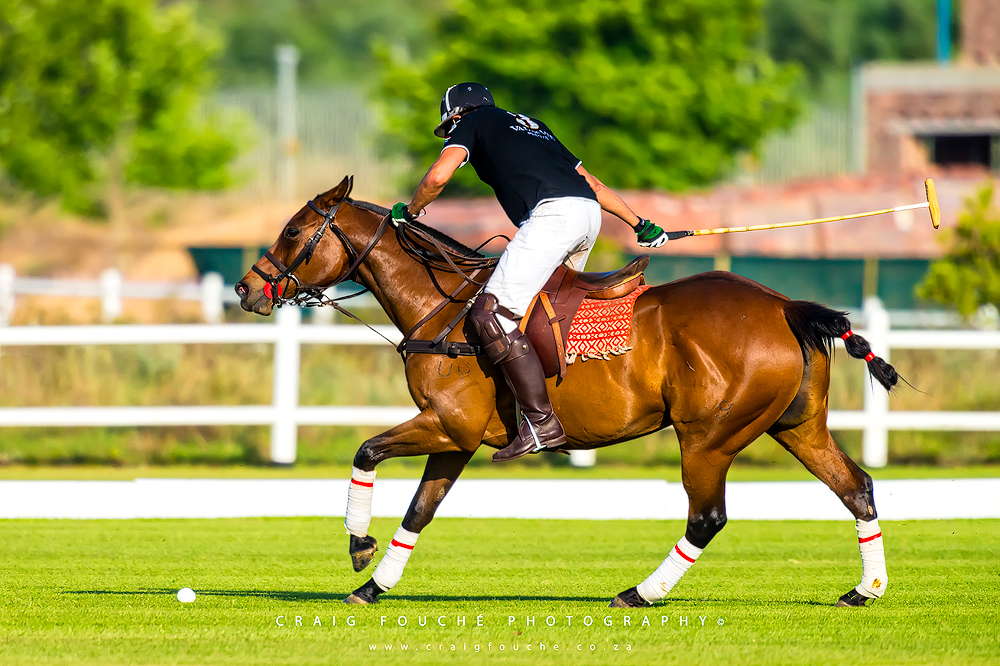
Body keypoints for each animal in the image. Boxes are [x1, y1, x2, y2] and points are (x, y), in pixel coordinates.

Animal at [236, 176, 896, 609]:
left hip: (708, 437)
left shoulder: (447, 423)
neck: (441, 308)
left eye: (293, 230)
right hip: (796, 425)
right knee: (857, 487)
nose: (247, 290)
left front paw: (358, 545)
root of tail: (785, 304)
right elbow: (420, 509)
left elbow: (366, 451)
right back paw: (864, 590)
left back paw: (640, 593)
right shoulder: (457, 437)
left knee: (707, 516)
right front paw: (373, 586)